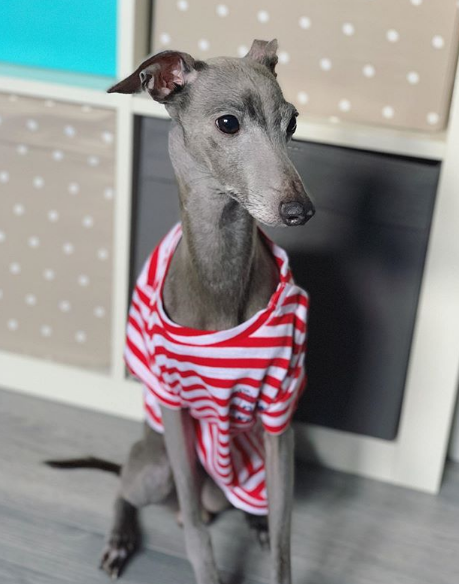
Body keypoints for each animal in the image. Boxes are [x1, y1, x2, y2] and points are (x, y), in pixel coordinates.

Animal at [49, 38, 316, 580]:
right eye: (228, 123)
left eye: (293, 122)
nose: (301, 211)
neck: (220, 277)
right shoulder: (173, 406)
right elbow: (196, 530)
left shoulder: (280, 415)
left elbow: (283, 537)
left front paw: (270, 537)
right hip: (154, 467)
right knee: (134, 492)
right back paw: (120, 539)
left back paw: (251, 521)